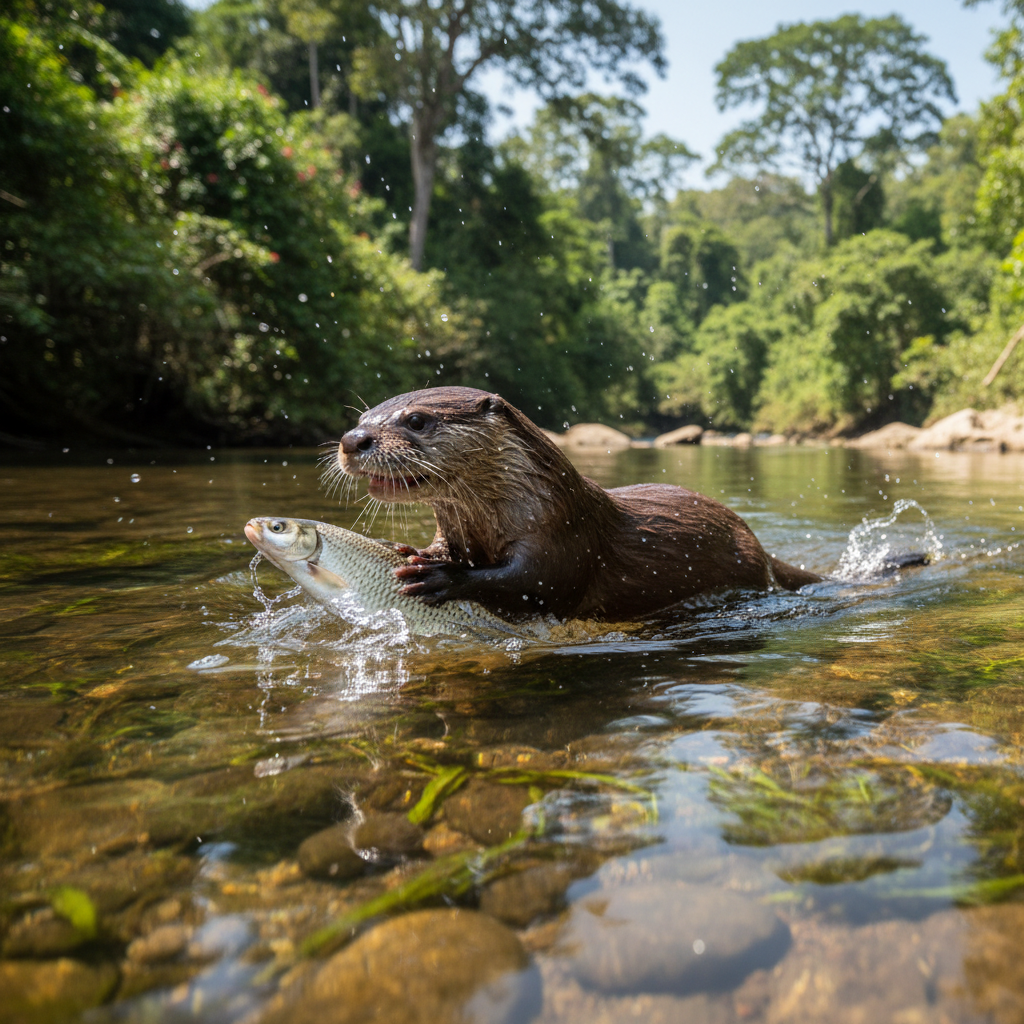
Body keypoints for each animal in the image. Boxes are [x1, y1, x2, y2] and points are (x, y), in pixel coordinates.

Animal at [336, 387, 822, 621]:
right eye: (362, 417)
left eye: (417, 420)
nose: (351, 440)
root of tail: (758, 544)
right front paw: (409, 550)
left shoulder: (562, 535)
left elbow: (534, 584)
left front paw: (441, 576)